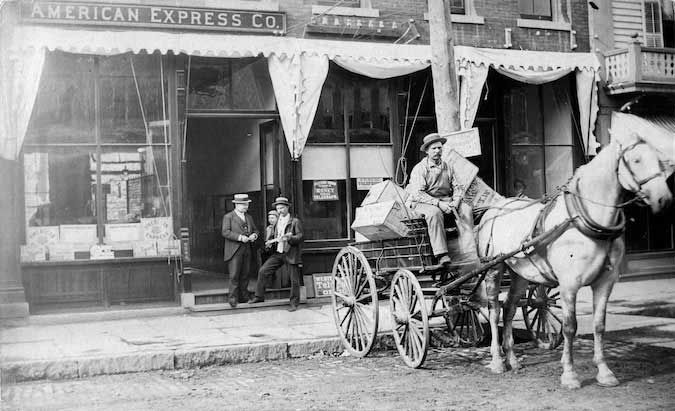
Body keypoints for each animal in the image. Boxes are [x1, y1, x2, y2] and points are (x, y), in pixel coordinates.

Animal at [478, 133, 672, 390]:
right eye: (637, 160)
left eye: (659, 158)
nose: (664, 198)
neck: (586, 218)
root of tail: (495, 209)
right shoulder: (569, 284)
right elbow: (570, 327)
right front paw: (569, 375)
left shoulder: (606, 282)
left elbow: (599, 325)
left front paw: (605, 372)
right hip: (494, 268)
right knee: (494, 311)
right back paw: (498, 361)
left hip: (520, 273)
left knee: (509, 308)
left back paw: (512, 359)